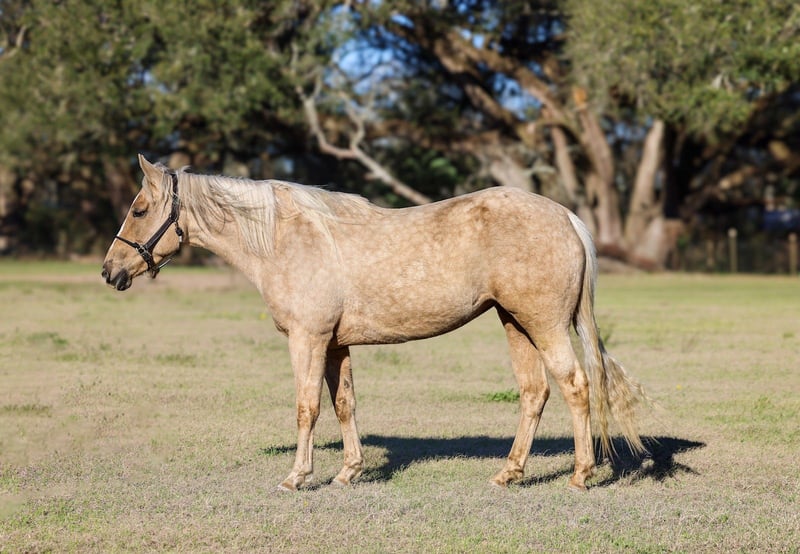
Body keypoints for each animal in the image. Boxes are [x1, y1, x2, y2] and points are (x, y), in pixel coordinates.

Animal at [102, 154, 646, 491]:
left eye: (140, 209)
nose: (110, 271)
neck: (285, 239)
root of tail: (565, 216)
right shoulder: (335, 345)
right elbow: (344, 404)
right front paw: (349, 472)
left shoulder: (308, 340)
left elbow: (306, 408)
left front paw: (297, 477)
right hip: (516, 324)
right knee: (535, 392)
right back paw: (509, 473)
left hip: (544, 325)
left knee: (575, 386)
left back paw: (580, 474)